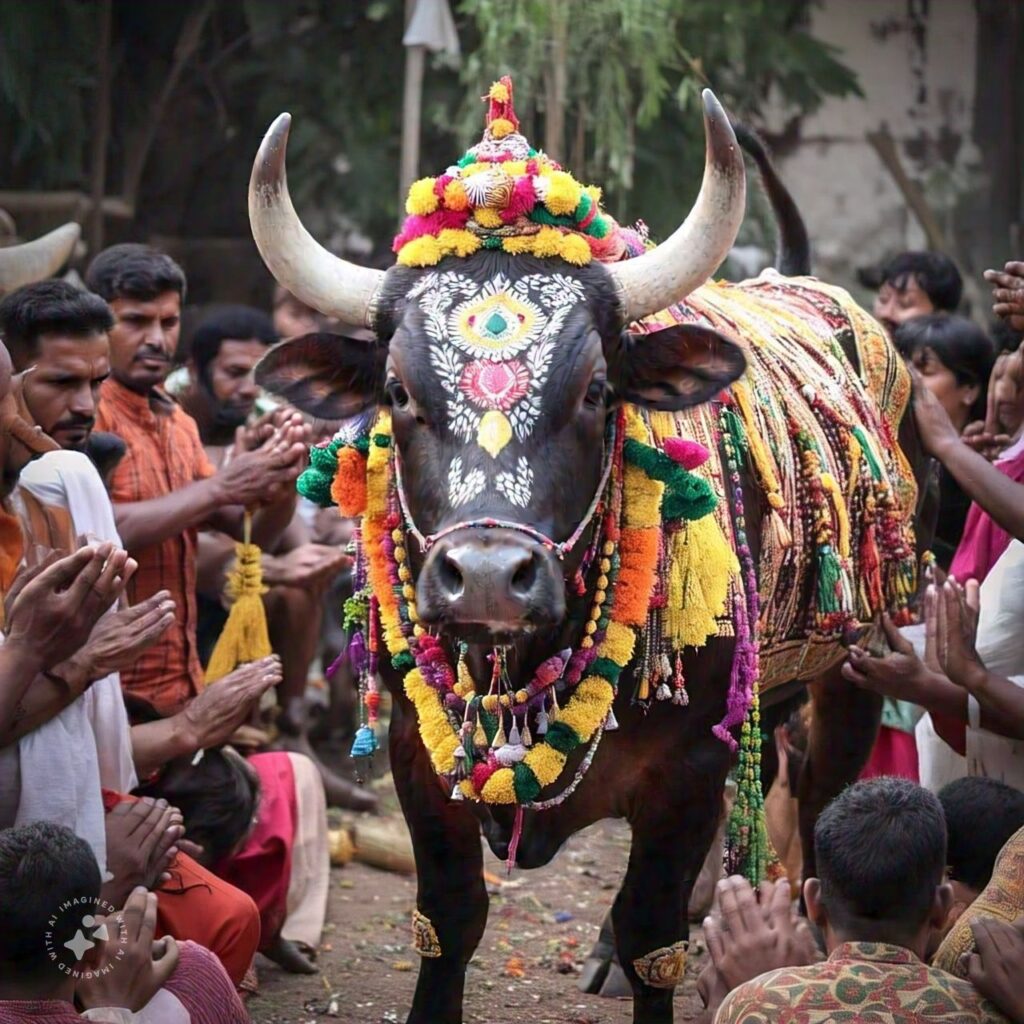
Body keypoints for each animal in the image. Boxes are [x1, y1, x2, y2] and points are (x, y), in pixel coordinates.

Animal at [245, 79, 921, 1024]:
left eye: (597, 389)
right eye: (396, 390)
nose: (488, 580)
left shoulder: (690, 767)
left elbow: (652, 939)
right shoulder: (419, 757)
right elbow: (448, 921)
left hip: (855, 671)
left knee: (823, 800)